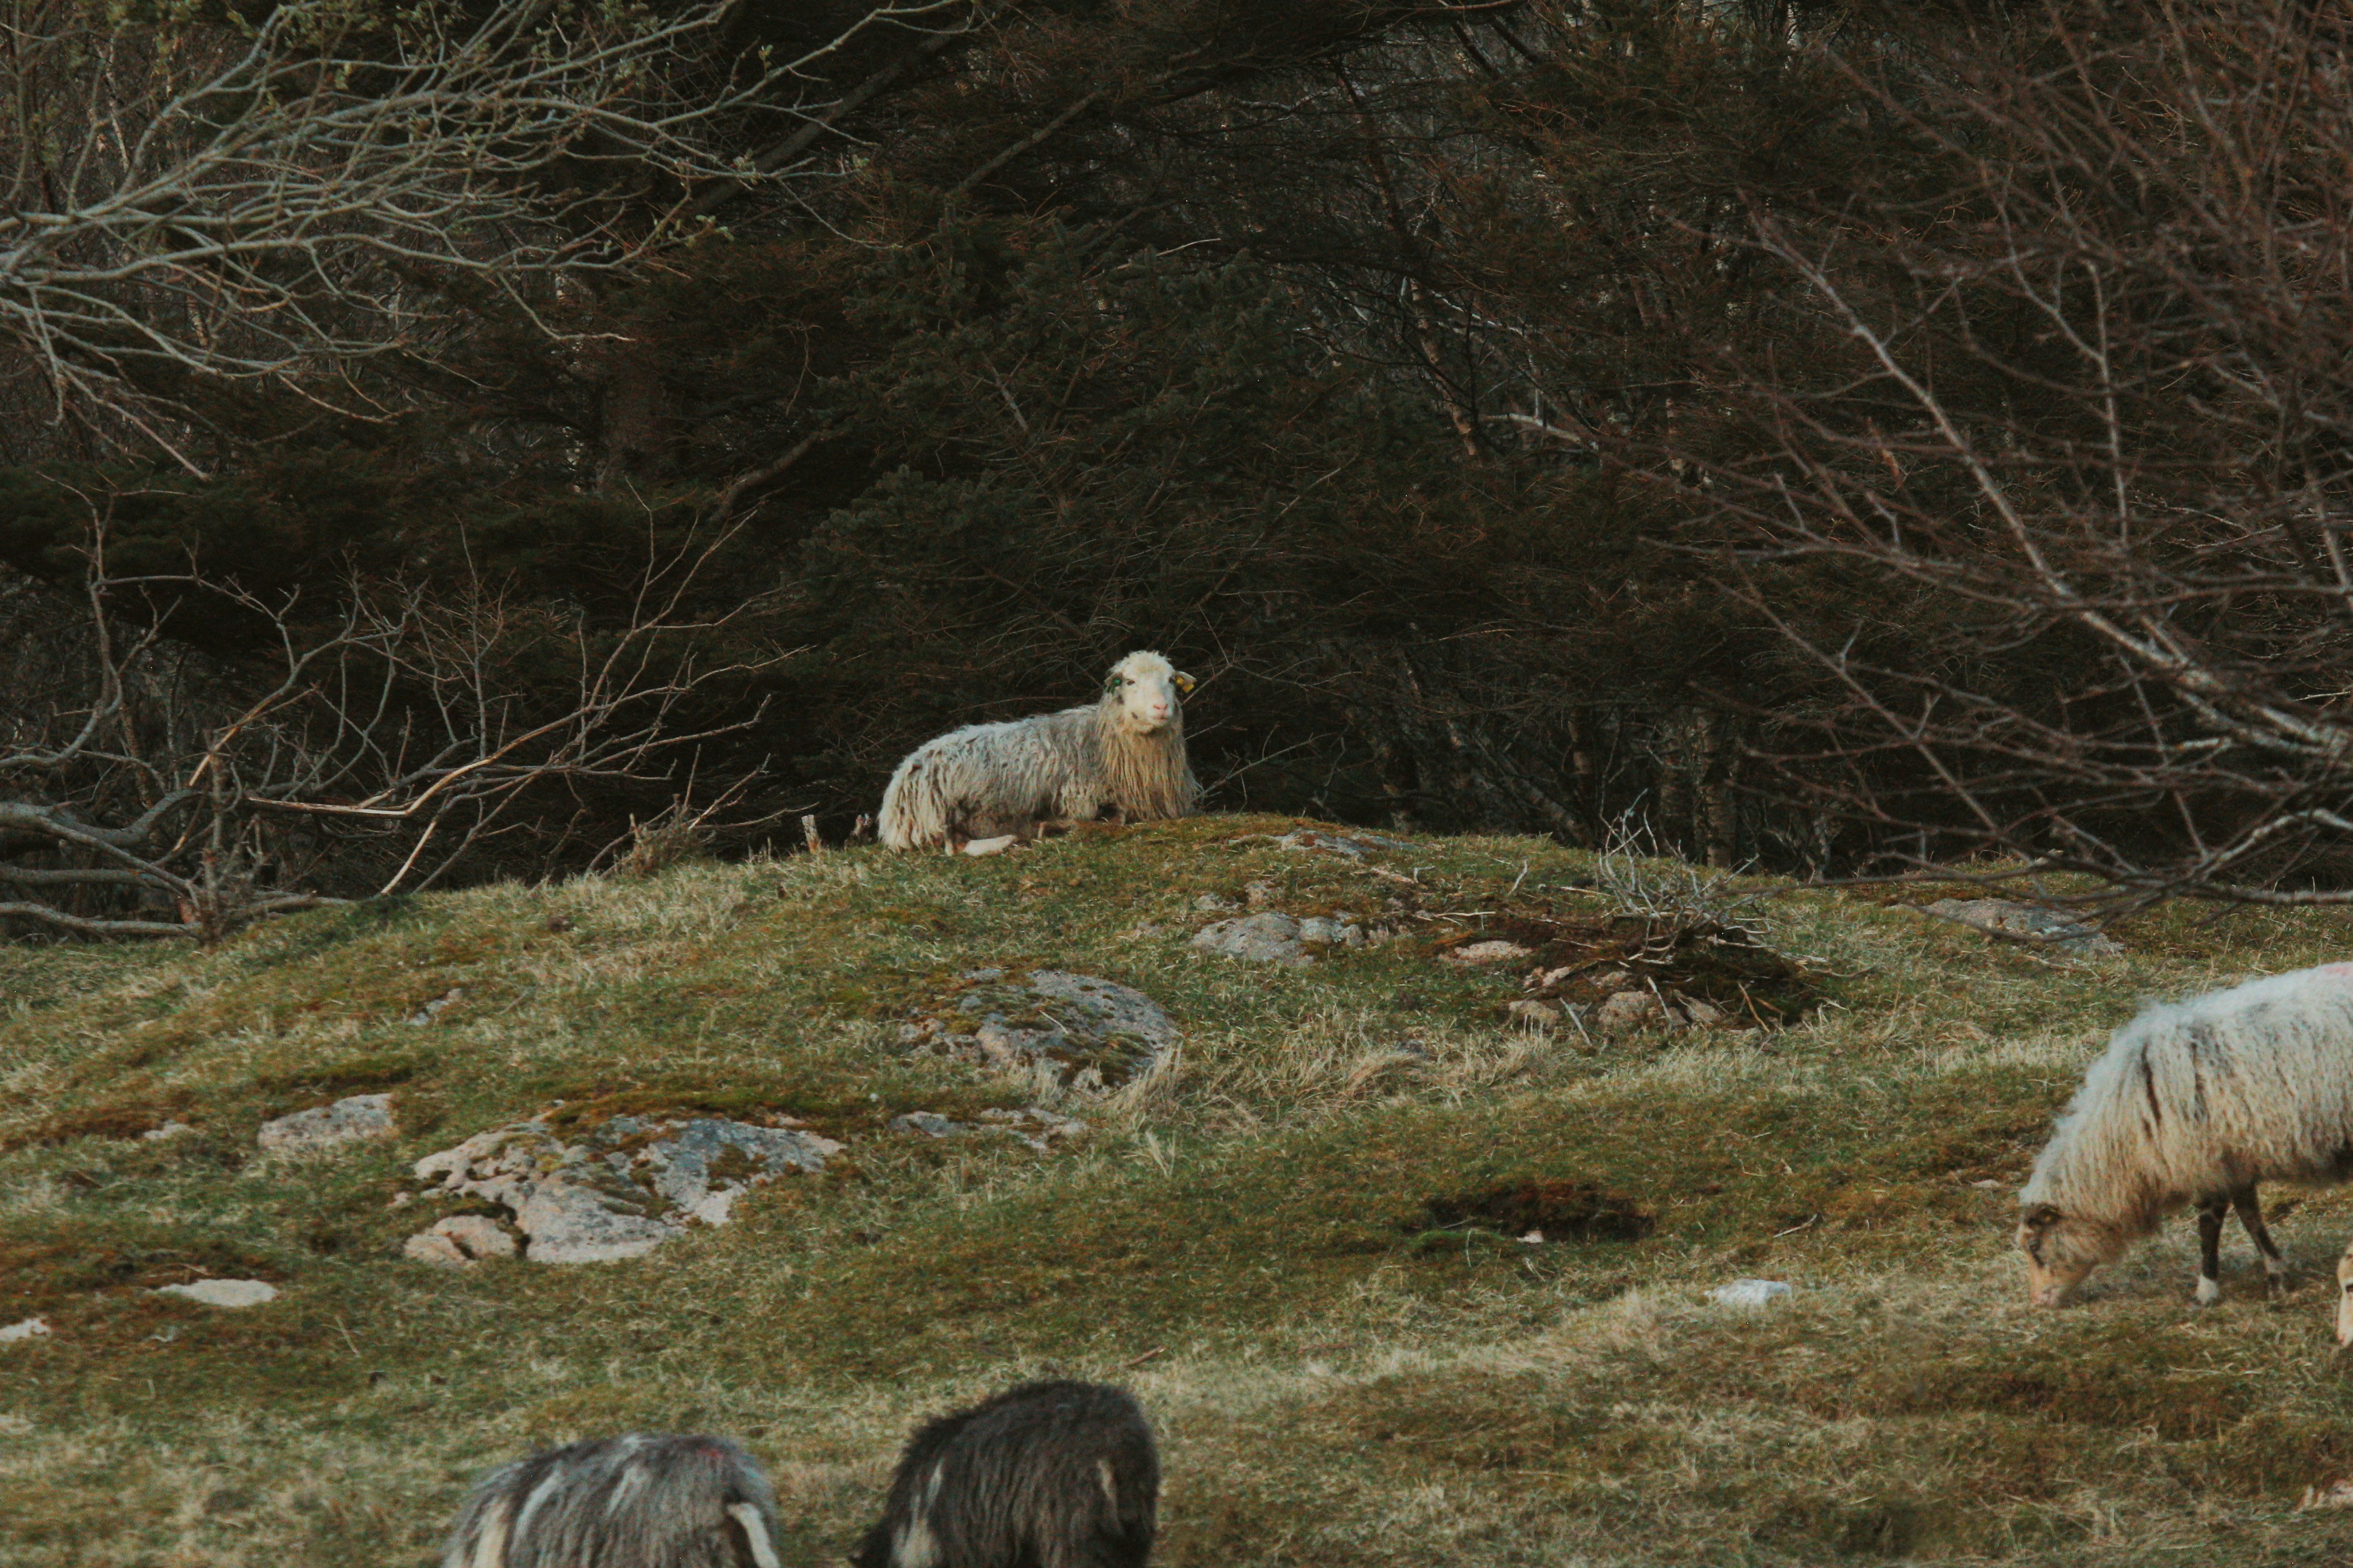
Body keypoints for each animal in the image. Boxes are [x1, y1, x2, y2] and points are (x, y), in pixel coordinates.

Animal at [878, 652, 1199, 852]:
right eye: (1130, 682)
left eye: (1172, 680)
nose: (1161, 707)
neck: (1101, 742)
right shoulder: (1080, 800)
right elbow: (1110, 819)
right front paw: (1054, 826)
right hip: (945, 813)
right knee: (953, 846)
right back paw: (1011, 839)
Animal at [2015, 962, 2353, 1327]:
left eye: (2035, 1246)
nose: (2037, 1303)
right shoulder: (2233, 1162)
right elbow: (2251, 1219)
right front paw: (2276, 1277)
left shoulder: (2206, 1161)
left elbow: (2208, 1228)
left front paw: (2205, 1292)